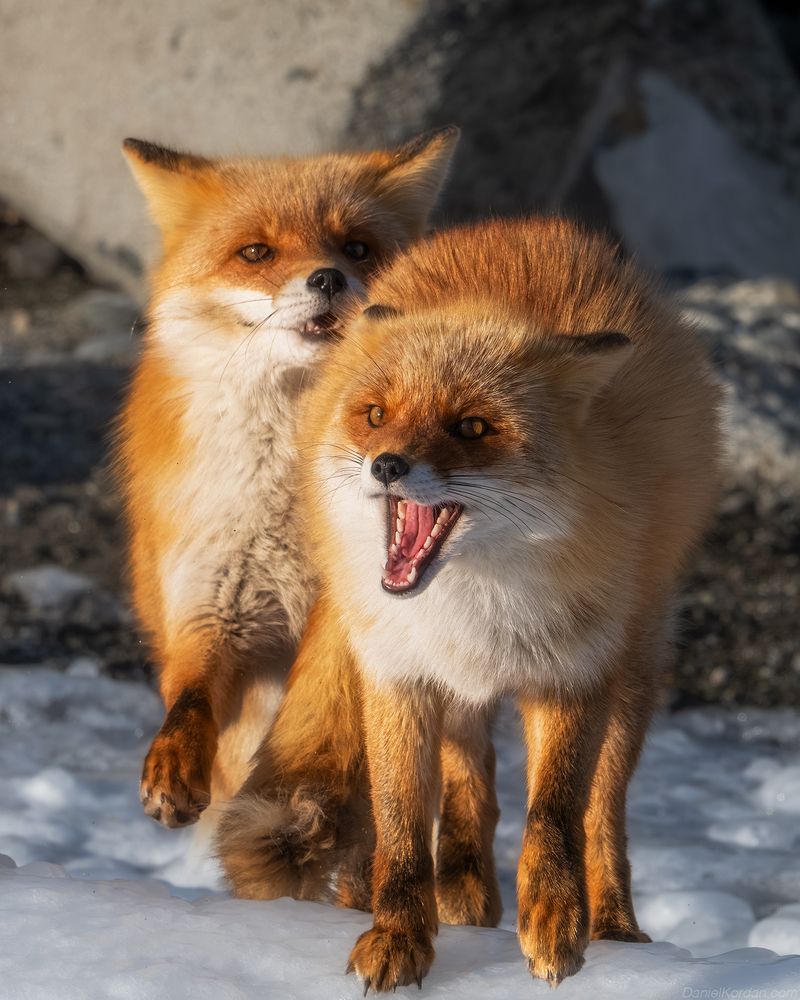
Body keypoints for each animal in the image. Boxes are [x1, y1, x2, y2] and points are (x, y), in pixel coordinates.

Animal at [116, 127, 459, 830]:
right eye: (256, 252)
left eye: (357, 248)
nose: (328, 277)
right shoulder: (213, 605)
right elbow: (189, 699)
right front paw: (172, 767)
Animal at [217, 217, 722, 989]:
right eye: (376, 416)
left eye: (473, 428)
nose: (387, 465)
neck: (477, 603)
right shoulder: (397, 671)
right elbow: (399, 827)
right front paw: (397, 935)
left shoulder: (571, 671)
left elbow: (554, 816)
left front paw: (555, 922)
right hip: (449, 690)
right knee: (469, 786)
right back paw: (459, 892)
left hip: (633, 676)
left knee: (602, 817)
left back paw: (613, 924)